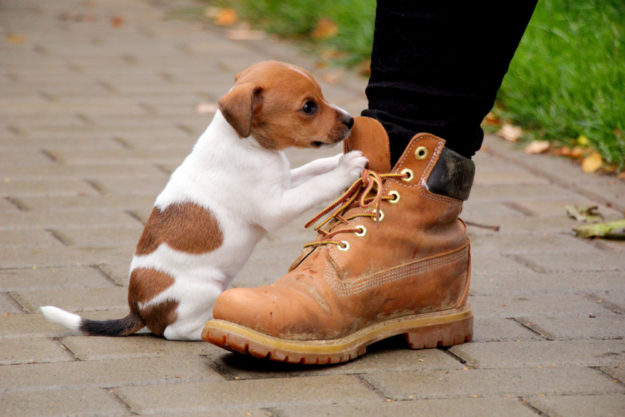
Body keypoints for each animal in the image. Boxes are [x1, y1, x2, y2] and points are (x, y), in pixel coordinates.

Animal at [42, 60, 366, 340]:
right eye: (308, 107)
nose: (352, 120)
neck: (243, 141)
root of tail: (139, 310)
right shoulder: (276, 206)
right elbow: (317, 185)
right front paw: (347, 168)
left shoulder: (285, 181)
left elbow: (313, 168)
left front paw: (338, 159)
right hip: (206, 289)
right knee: (174, 331)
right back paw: (209, 329)